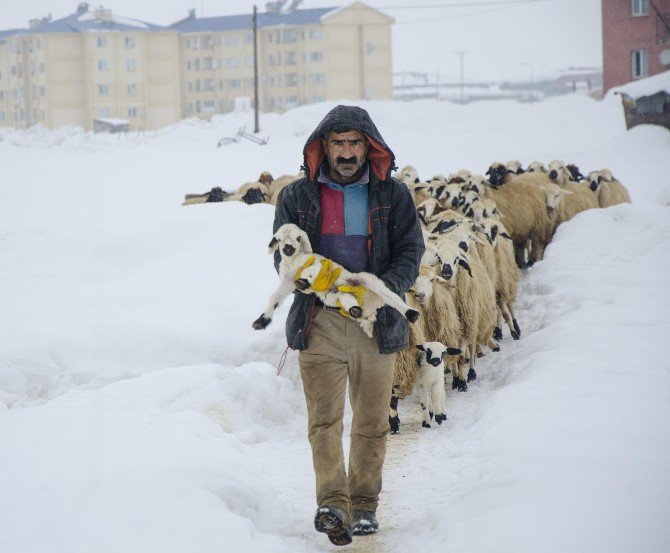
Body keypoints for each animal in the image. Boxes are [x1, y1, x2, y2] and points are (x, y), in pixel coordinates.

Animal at [252, 223, 420, 336]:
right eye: (279, 239)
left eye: (298, 238)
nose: (288, 248)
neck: (294, 260)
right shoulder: (288, 281)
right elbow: (275, 297)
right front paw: (262, 321)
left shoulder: (317, 264)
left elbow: (310, 272)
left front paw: (304, 281)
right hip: (340, 293)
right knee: (348, 300)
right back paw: (355, 310)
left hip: (367, 280)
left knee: (390, 296)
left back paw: (411, 313)